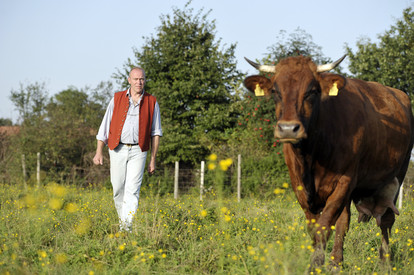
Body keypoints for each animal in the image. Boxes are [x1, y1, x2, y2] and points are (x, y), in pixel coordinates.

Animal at [244, 55, 412, 270]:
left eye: (312, 91)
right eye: (275, 91)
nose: (288, 129)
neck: (312, 155)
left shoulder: (344, 182)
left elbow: (325, 226)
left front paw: (315, 265)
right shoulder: (300, 186)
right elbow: (316, 228)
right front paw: (322, 261)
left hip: (397, 175)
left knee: (387, 220)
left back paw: (384, 262)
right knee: (346, 220)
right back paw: (337, 262)